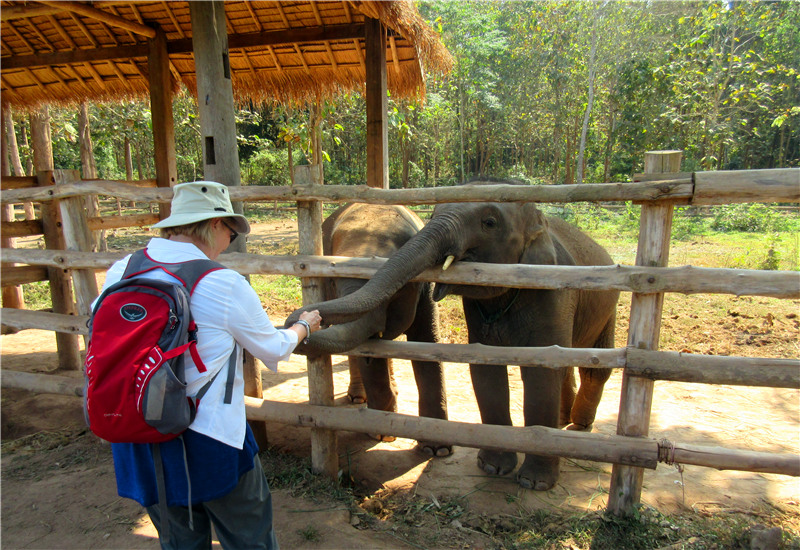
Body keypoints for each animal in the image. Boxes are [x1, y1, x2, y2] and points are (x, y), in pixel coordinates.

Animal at [289, 203, 451, 457]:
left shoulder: (425, 289)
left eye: (395, 290)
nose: (307, 320)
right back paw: (358, 398)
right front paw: (383, 434)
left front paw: (437, 450)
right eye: (332, 282)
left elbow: (427, 343)